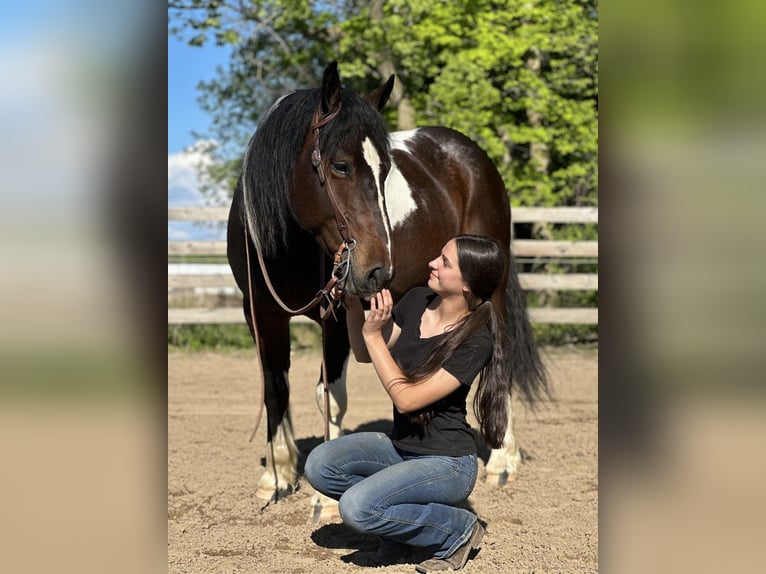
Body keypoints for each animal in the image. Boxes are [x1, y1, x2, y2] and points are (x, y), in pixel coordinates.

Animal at [227, 62, 548, 520]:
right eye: (340, 166)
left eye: (384, 173)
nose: (378, 270)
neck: (285, 246)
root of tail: (470, 155)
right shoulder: (262, 317)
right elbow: (275, 389)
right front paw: (278, 476)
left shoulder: (336, 320)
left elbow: (330, 396)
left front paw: (324, 499)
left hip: (494, 289)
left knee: (501, 358)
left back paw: (503, 460)